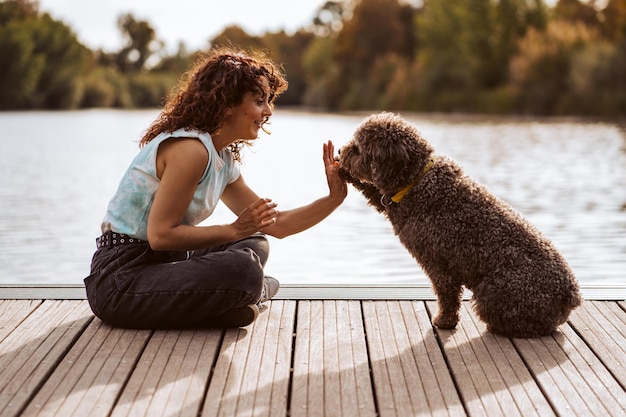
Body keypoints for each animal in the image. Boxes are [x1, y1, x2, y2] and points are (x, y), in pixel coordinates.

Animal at [336, 112, 580, 336]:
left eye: (358, 147)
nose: (339, 152)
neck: (417, 182)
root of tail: (571, 293)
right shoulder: (389, 202)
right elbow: (370, 190)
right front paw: (342, 171)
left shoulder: (438, 264)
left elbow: (447, 296)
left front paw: (444, 321)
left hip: (495, 291)